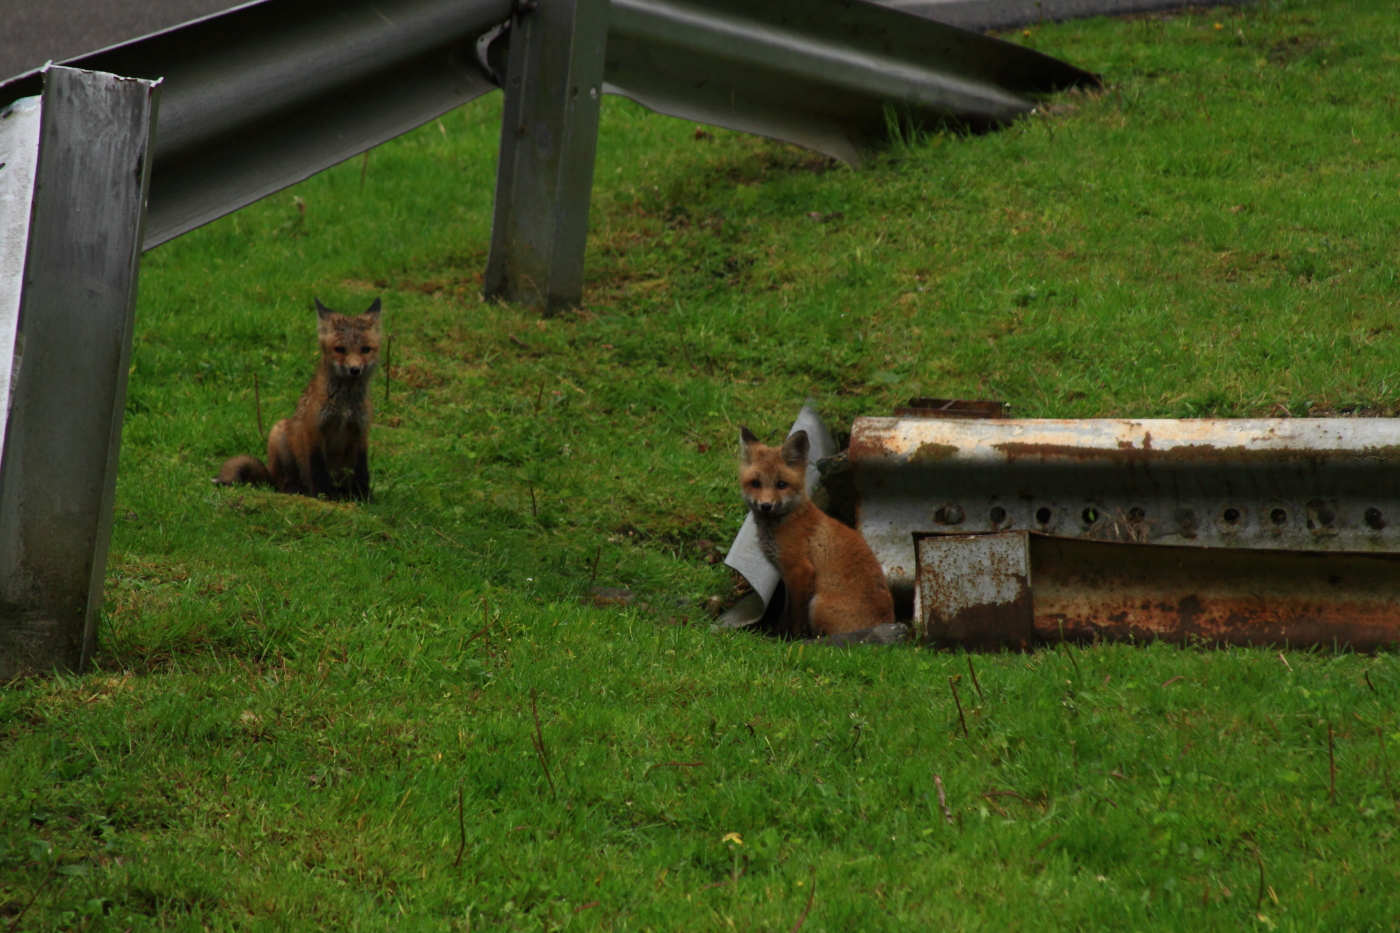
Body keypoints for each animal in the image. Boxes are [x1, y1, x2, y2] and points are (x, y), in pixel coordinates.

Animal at [214, 297, 382, 500]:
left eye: (366, 349)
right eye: (340, 349)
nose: (355, 369)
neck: (344, 407)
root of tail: (270, 477)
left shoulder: (360, 433)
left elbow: (362, 473)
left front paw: (363, 499)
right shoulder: (314, 432)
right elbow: (318, 471)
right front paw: (322, 497)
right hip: (279, 433)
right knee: (285, 482)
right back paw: (296, 489)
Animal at [739, 426, 895, 638]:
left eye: (781, 484)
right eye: (756, 483)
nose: (766, 506)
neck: (786, 520)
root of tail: (888, 622)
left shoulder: (799, 568)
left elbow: (796, 614)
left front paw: (793, 638)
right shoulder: (786, 574)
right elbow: (786, 611)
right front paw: (782, 633)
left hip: (818, 605)